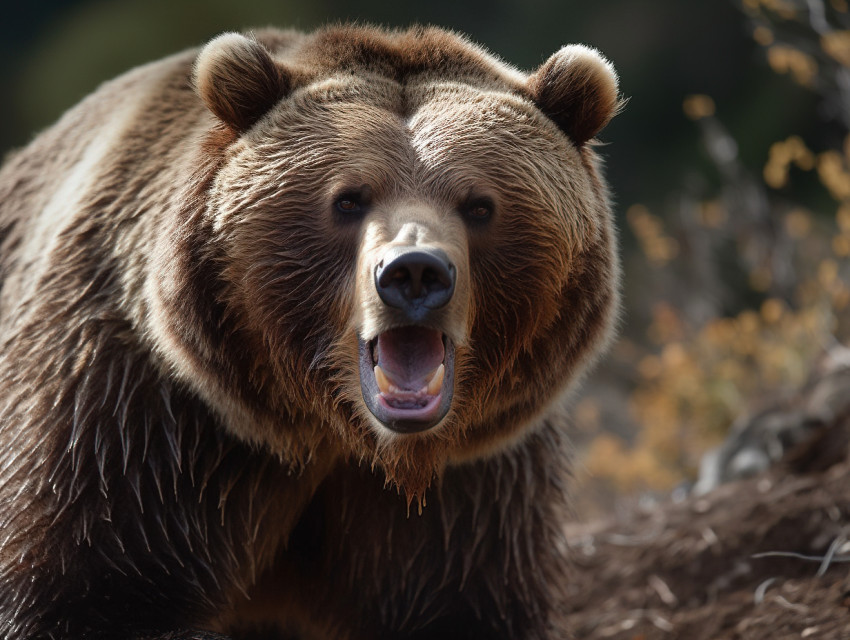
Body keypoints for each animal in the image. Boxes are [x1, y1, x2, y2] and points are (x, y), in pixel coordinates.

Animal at [0, 25, 620, 640]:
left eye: (479, 205)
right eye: (348, 199)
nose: (414, 272)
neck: (333, 433)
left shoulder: (476, 490)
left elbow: (460, 602)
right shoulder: (137, 422)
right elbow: (96, 593)